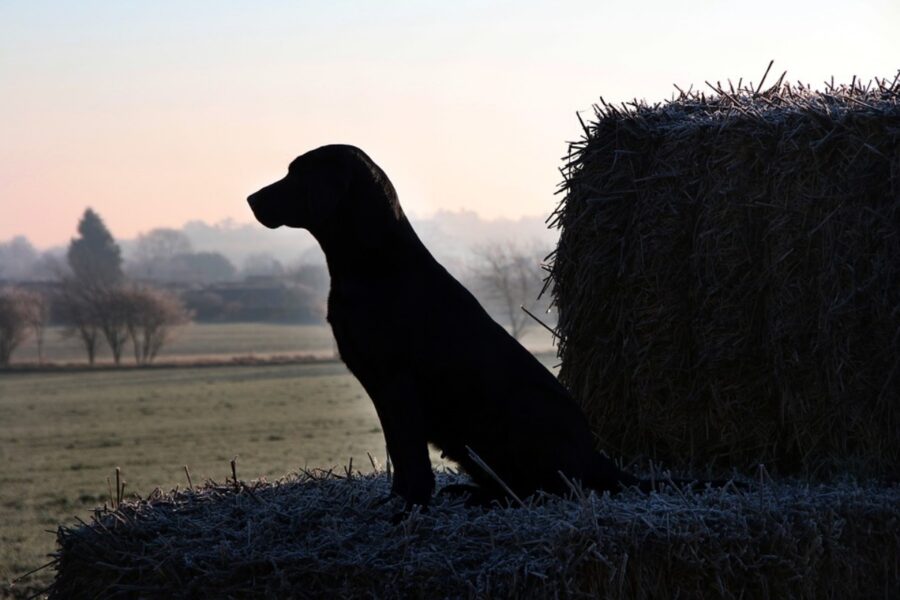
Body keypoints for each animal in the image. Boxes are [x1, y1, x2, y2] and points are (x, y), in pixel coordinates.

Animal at [248, 145, 640, 510]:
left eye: (296, 173)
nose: (250, 199)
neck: (375, 265)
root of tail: (597, 458)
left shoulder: (397, 379)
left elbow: (410, 454)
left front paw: (409, 504)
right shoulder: (380, 384)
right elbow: (399, 449)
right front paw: (396, 499)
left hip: (522, 412)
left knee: (552, 489)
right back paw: (470, 493)